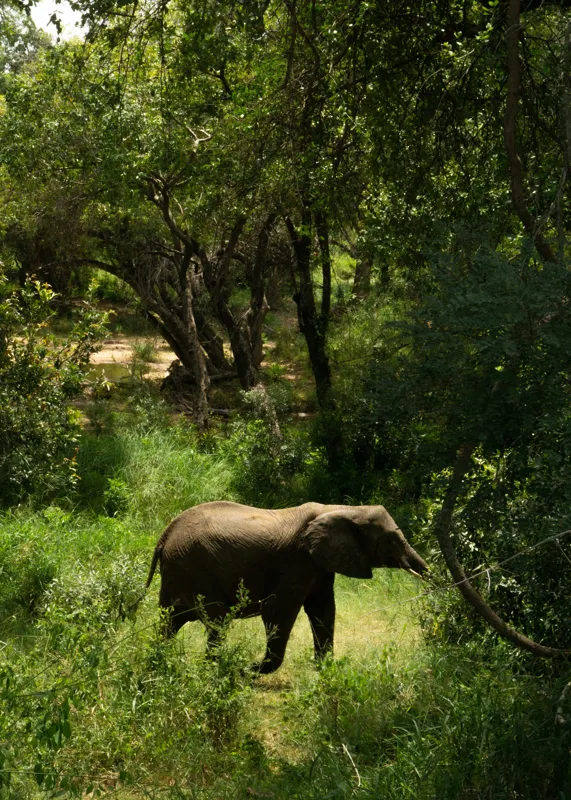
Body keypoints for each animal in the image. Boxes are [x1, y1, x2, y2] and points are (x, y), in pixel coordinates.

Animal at [145, 501, 428, 674]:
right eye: (391, 539)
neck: (340, 509)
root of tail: (165, 535)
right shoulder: (298, 560)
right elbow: (278, 609)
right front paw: (250, 671)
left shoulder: (319, 564)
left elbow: (323, 609)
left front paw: (325, 670)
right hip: (194, 567)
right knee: (217, 620)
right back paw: (213, 668)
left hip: (178, 570)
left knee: (169, 621)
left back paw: (160, 662)